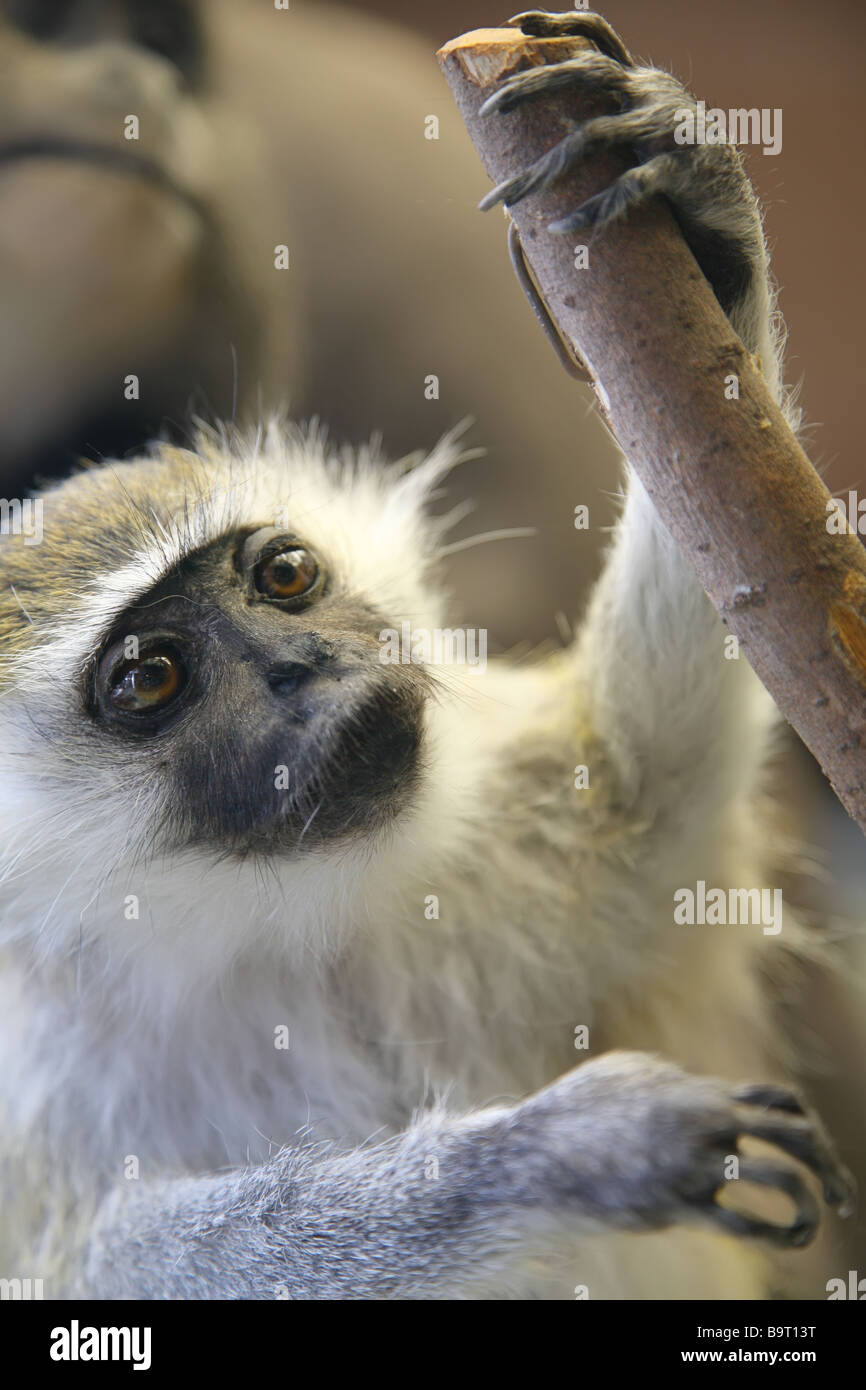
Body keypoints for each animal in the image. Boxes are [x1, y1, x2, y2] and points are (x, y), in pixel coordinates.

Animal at [0, 9, 857, 1300]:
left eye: (284, 577)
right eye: (150, 676)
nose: (305, 670)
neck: (287, 925)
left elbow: (656, 771)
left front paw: (699, 214)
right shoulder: (38, 1075)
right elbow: (92, 1263)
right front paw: (557, 1151)